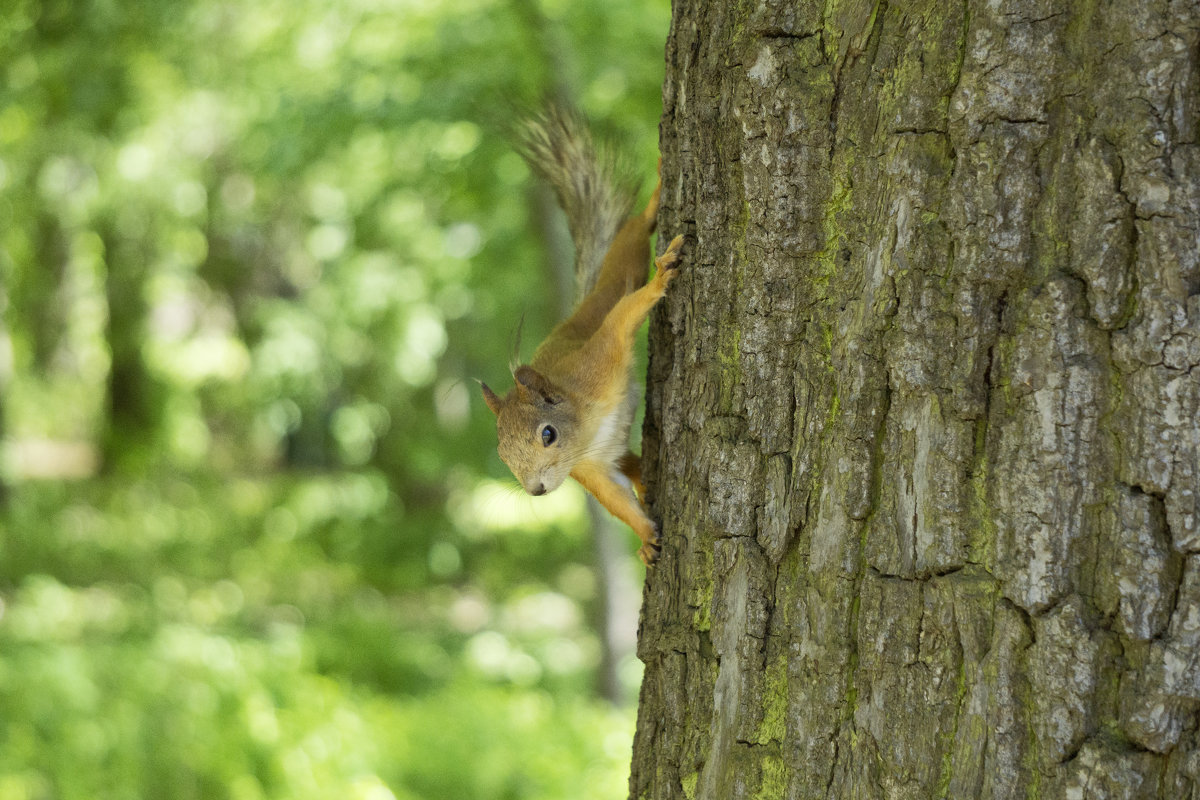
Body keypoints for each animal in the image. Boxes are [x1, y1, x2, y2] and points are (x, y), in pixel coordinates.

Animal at [480, 106, 686, 566]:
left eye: (548, 435)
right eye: (502, 453)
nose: (537, 490)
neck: (586, 426)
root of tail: (580, 308)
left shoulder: (600, 358)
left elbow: (623, 318)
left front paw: (660, 282)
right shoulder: (589, 467)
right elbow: (614, 497)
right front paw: (646, 536)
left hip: (620, 268)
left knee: (632, 236)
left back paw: (655, 202)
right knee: (632, 464)